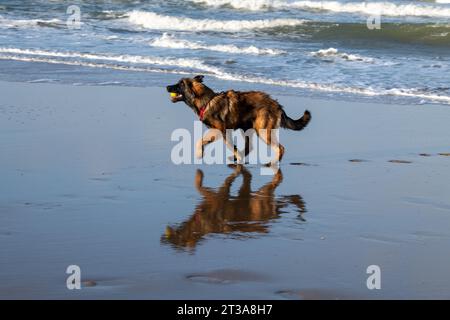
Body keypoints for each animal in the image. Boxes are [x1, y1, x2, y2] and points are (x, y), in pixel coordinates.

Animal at [167, 76, 312, 164]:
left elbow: (203, 141)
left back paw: (273, 163)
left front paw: (199, 153)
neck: (207, 101)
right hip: (247, 129)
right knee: (250, 147)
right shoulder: (223, 132)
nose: (167, 87)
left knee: (280, 148)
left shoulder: (221, 131)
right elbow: (221, 144)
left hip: (263, 132)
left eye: (180, 84)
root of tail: (277, 105)